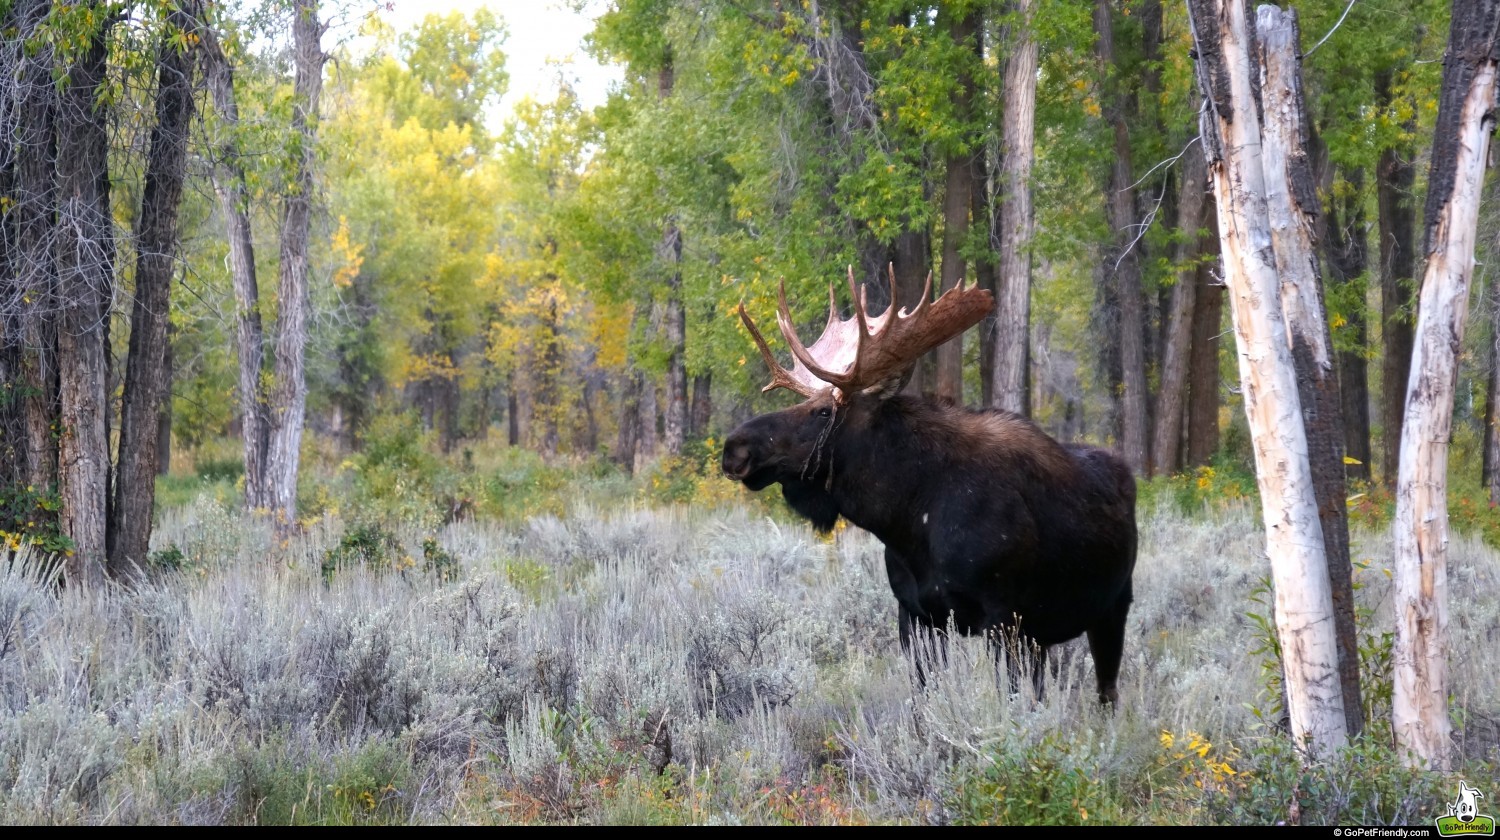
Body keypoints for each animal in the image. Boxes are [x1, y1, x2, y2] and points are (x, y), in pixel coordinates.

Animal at [717, 268, 1134, 702]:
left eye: (823, 411)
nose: (734, 448)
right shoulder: (915, 614)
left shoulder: (1003, 616)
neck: (907, 520)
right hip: (1044, 635)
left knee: (1106, 694)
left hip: (1111, 609)